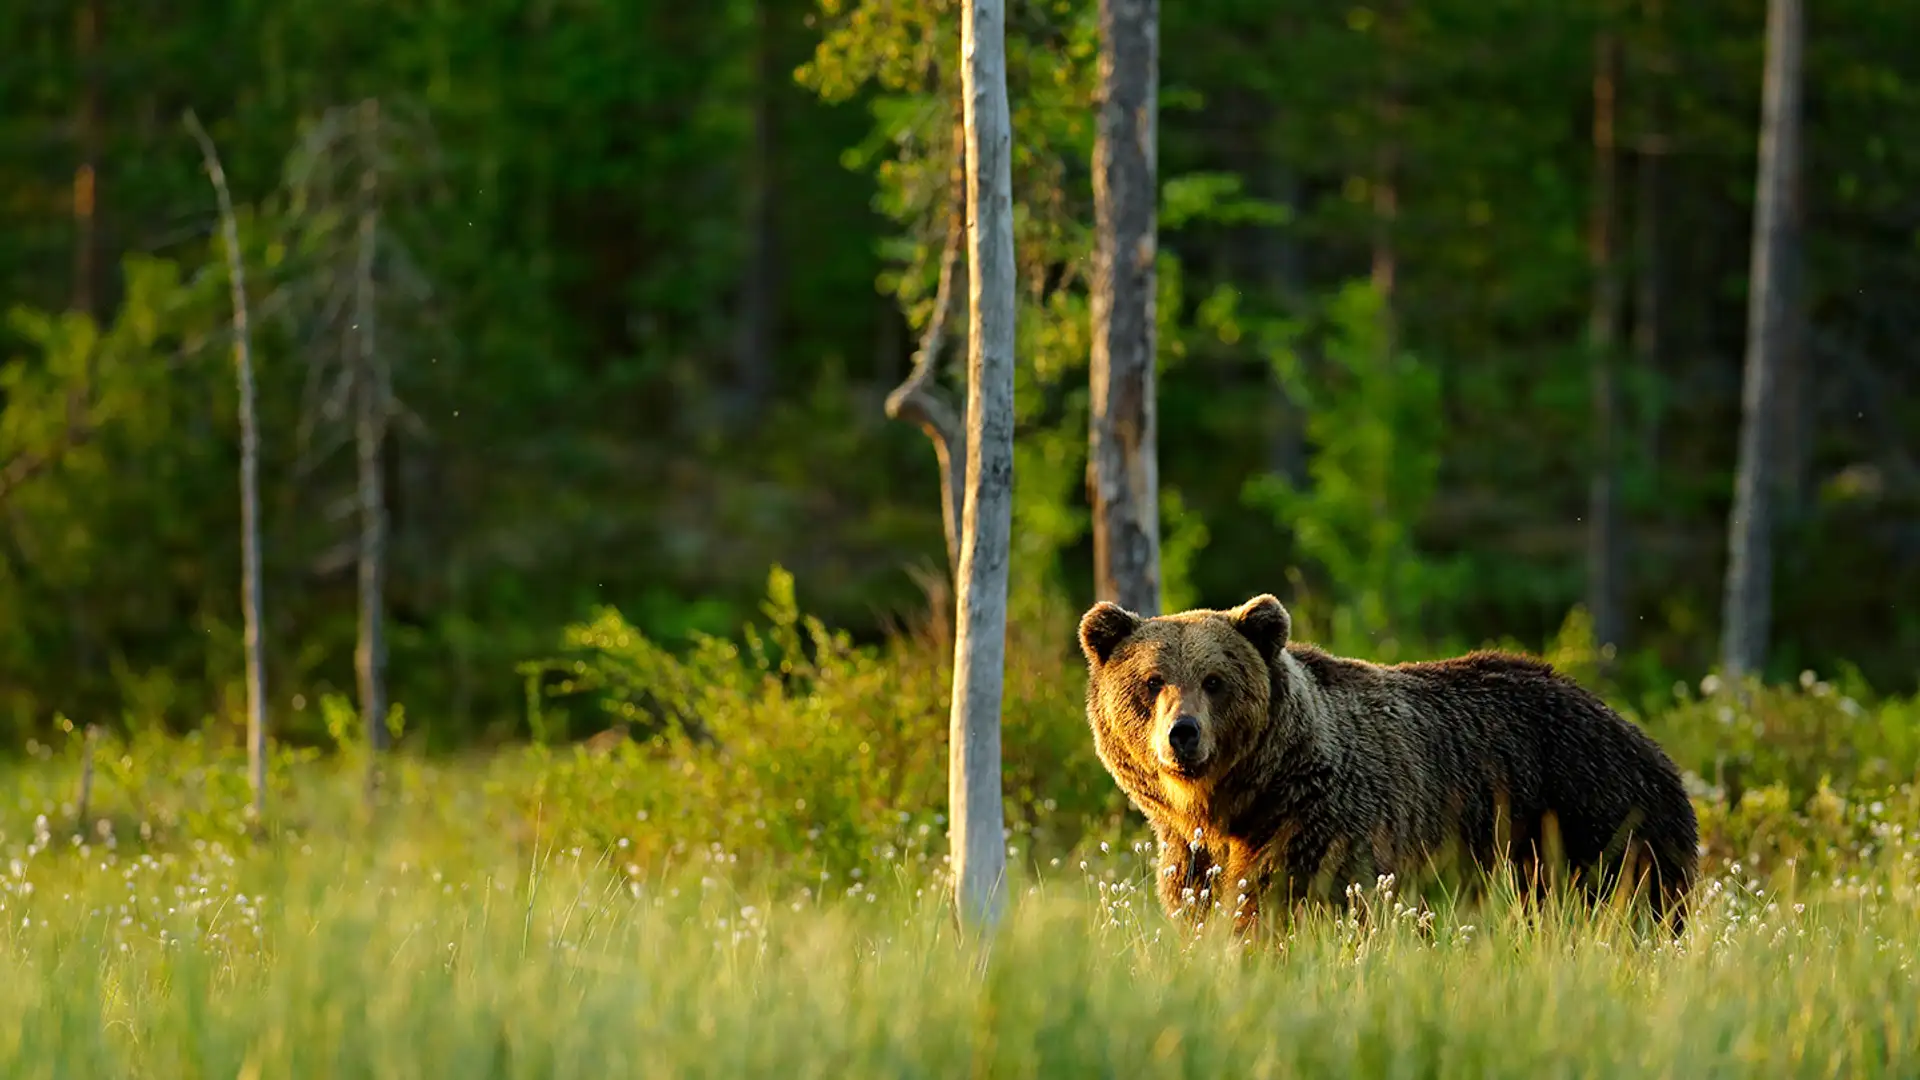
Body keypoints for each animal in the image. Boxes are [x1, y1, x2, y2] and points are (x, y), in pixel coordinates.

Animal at [1077, 593, 1699, 936]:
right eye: (1151, 681)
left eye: (1214, 680)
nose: (1183, 734)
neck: (1240, 802)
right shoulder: (1192, 854)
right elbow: (1201, 905)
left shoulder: (1321, 826)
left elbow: (1285, 905)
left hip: (1593, 822)